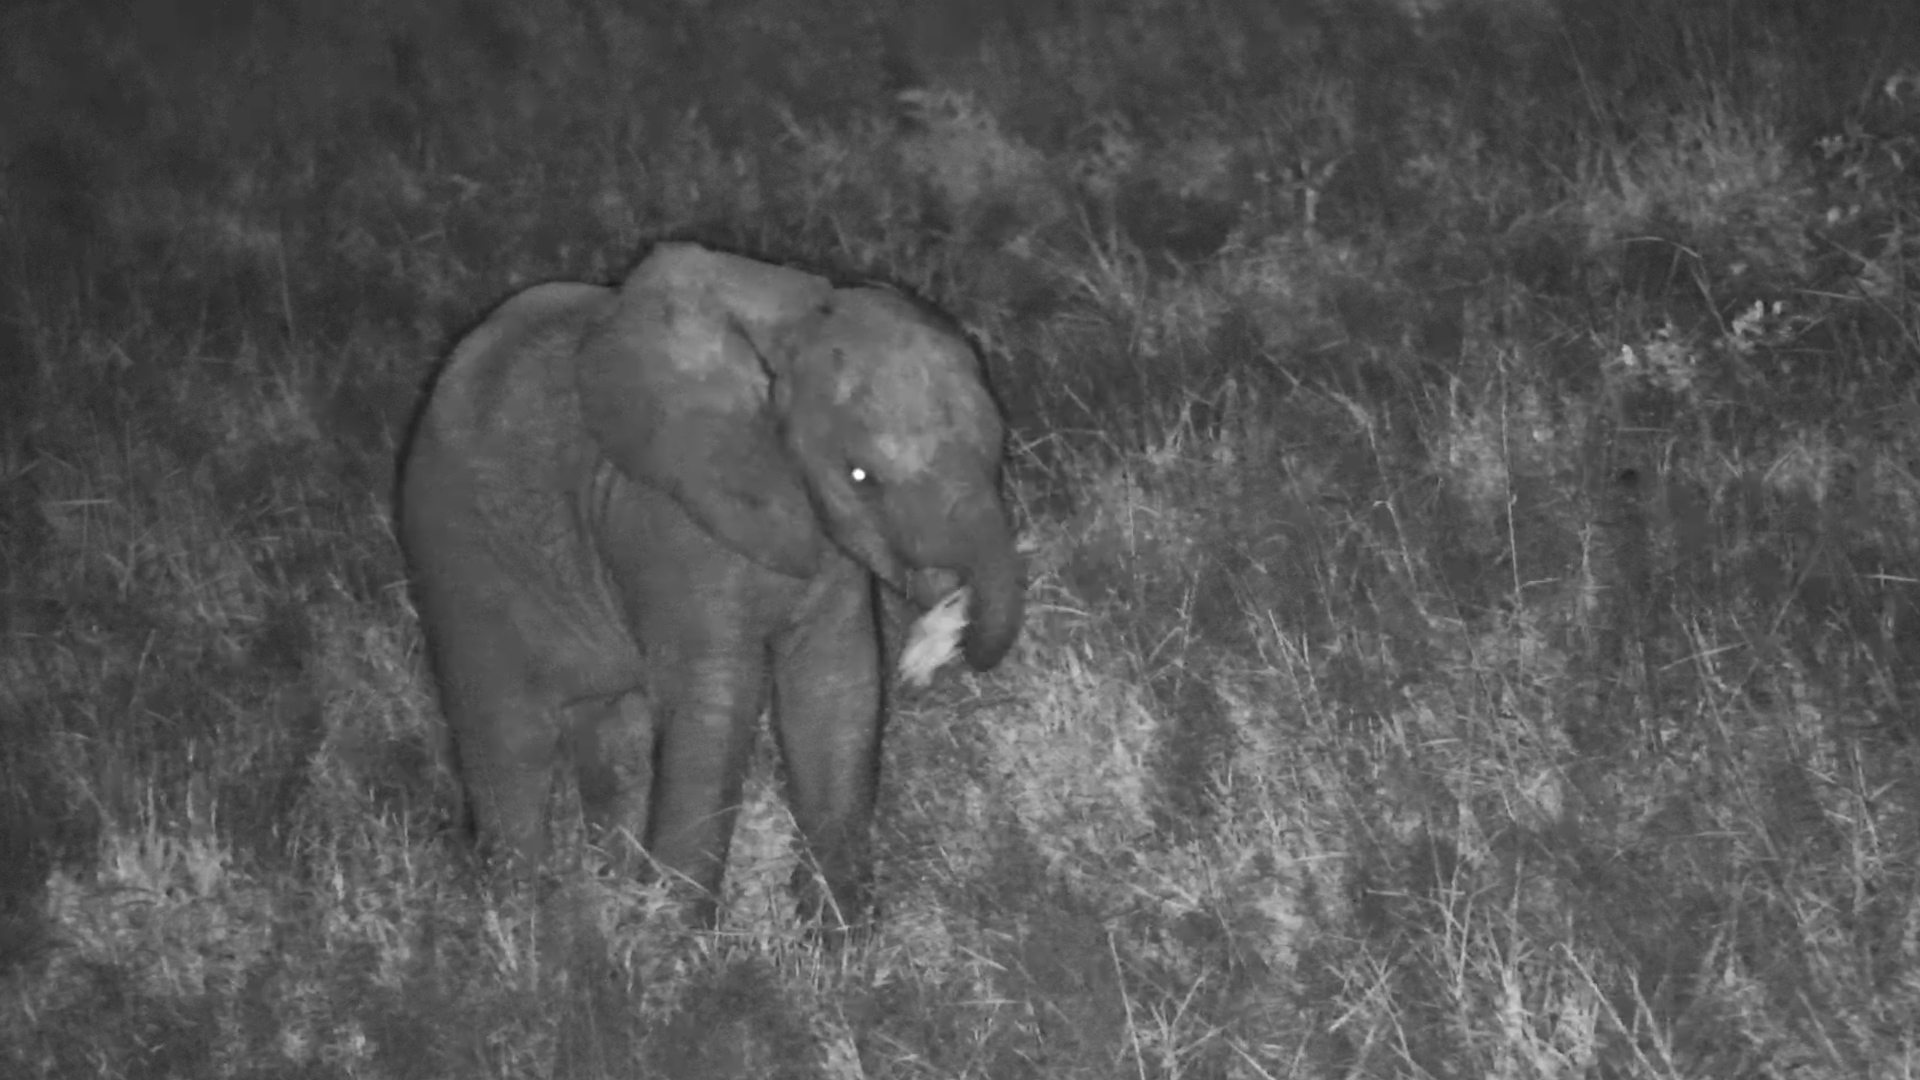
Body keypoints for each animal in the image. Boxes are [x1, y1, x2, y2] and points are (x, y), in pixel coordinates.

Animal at [398, 242, 1023, 930]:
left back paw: (605, 894)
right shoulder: (668, 520)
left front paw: (838, 936)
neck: (789, 324)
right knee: (510, 744)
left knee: (616, 741)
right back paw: (523, 926)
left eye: (1000, 447)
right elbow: (716, 702)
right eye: (861, 477)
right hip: (458, 565)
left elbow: (837, 687)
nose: (943, 629)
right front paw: (675, 945)